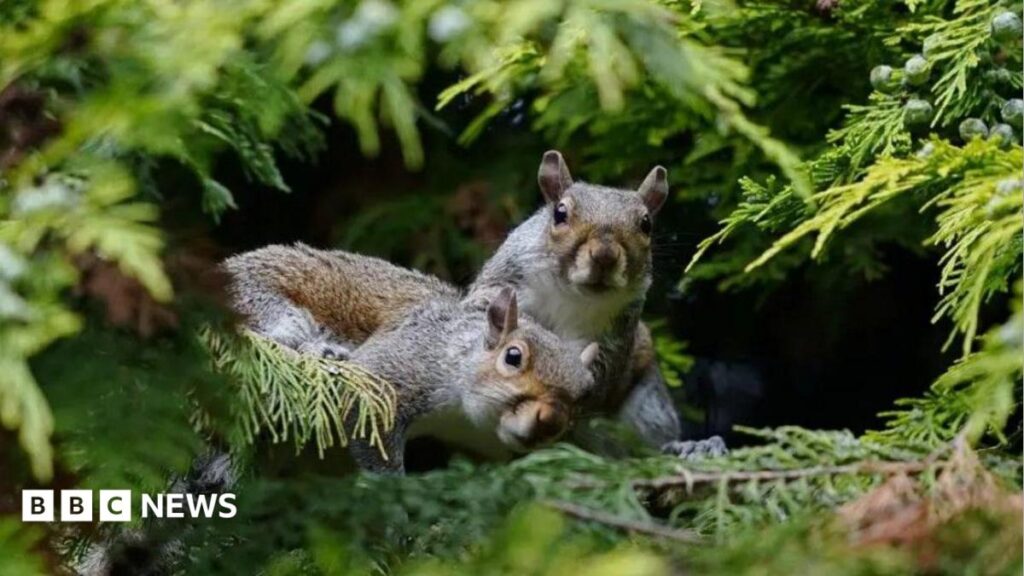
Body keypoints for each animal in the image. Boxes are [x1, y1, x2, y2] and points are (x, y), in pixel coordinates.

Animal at [224, 248, 600, 472]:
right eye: (513, 356)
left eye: (585, 393)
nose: (550, 421)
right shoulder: (399, 369)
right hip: (264, 304)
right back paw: (323, 351)